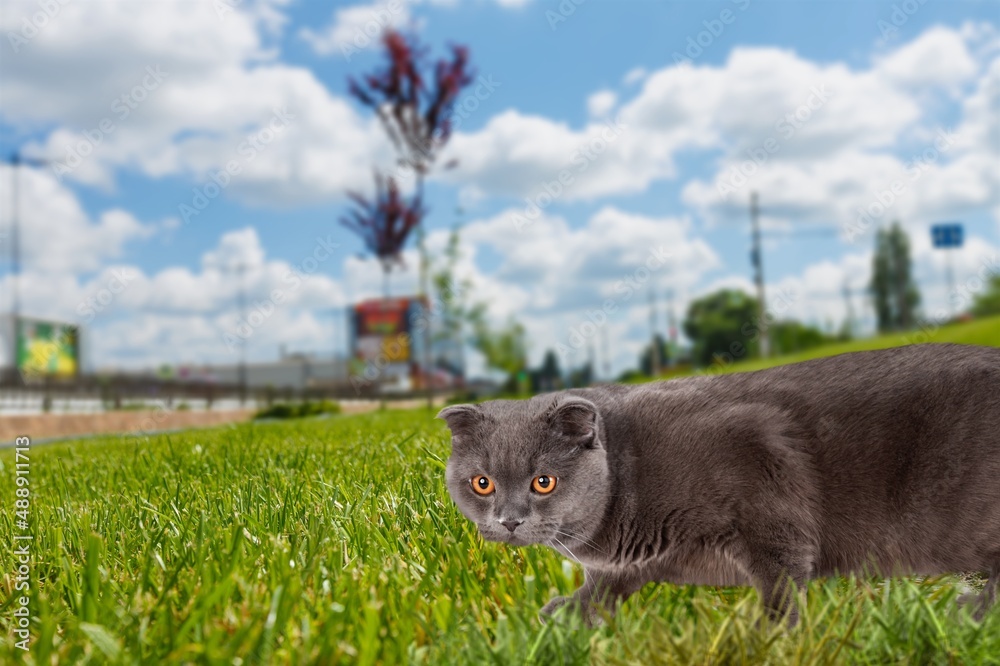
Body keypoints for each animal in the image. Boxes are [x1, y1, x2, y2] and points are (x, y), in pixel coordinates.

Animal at [442, 340, 1000, 624]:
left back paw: (969, 612)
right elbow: (605, 583)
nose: (509, 521)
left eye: (543, 483)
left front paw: (769, 637)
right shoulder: (634, 560)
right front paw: (568, 615)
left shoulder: (767, 496)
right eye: (482, 484)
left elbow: (780, 581)